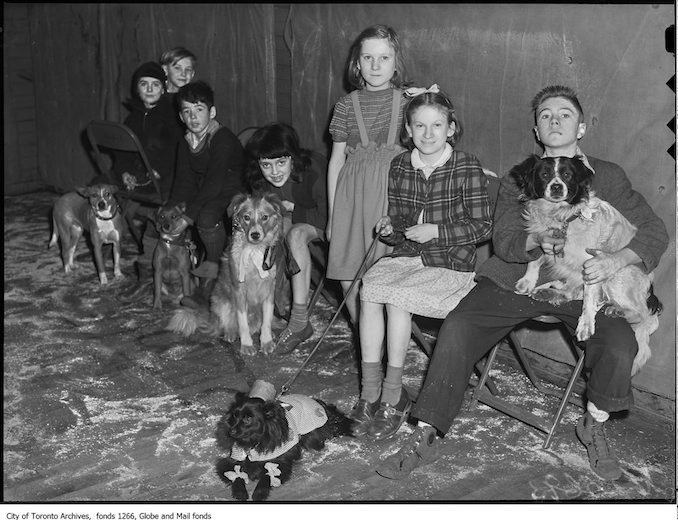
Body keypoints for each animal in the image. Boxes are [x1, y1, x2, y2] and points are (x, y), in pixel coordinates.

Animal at [170, 193, 290, 356]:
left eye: (265, 217)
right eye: (246, 217)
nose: (255, 235)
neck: (254, 251)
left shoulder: (269, 290)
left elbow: (266, 321)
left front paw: (266, 342)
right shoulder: (239, 291)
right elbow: (242, 322)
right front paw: (246, 345)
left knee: (260, 323)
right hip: (221, 301)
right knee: (228, 324)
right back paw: (231, 333)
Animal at [218, 380, 356, 502]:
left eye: (248, 418)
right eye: (234, 415)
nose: (230, 432)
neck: (255, 441)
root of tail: (321, 405)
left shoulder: (280, 463)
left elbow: (267, 477)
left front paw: (259, 493)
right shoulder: (231, 460)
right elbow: (236, 476)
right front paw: (240, 492)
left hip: (310, 436)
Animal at [512, 154, 660, 374]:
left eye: (567, 175)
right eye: (544, 174)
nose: (557, 187)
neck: (560, 214)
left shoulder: (591, 263)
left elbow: (589, 299)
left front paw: (586, 325)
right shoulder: (545, 238)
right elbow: (535, 259)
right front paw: (528, 281)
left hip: (617, 277)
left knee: (640, 314)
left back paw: (616, 309)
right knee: (574, 293)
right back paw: (550, 292)